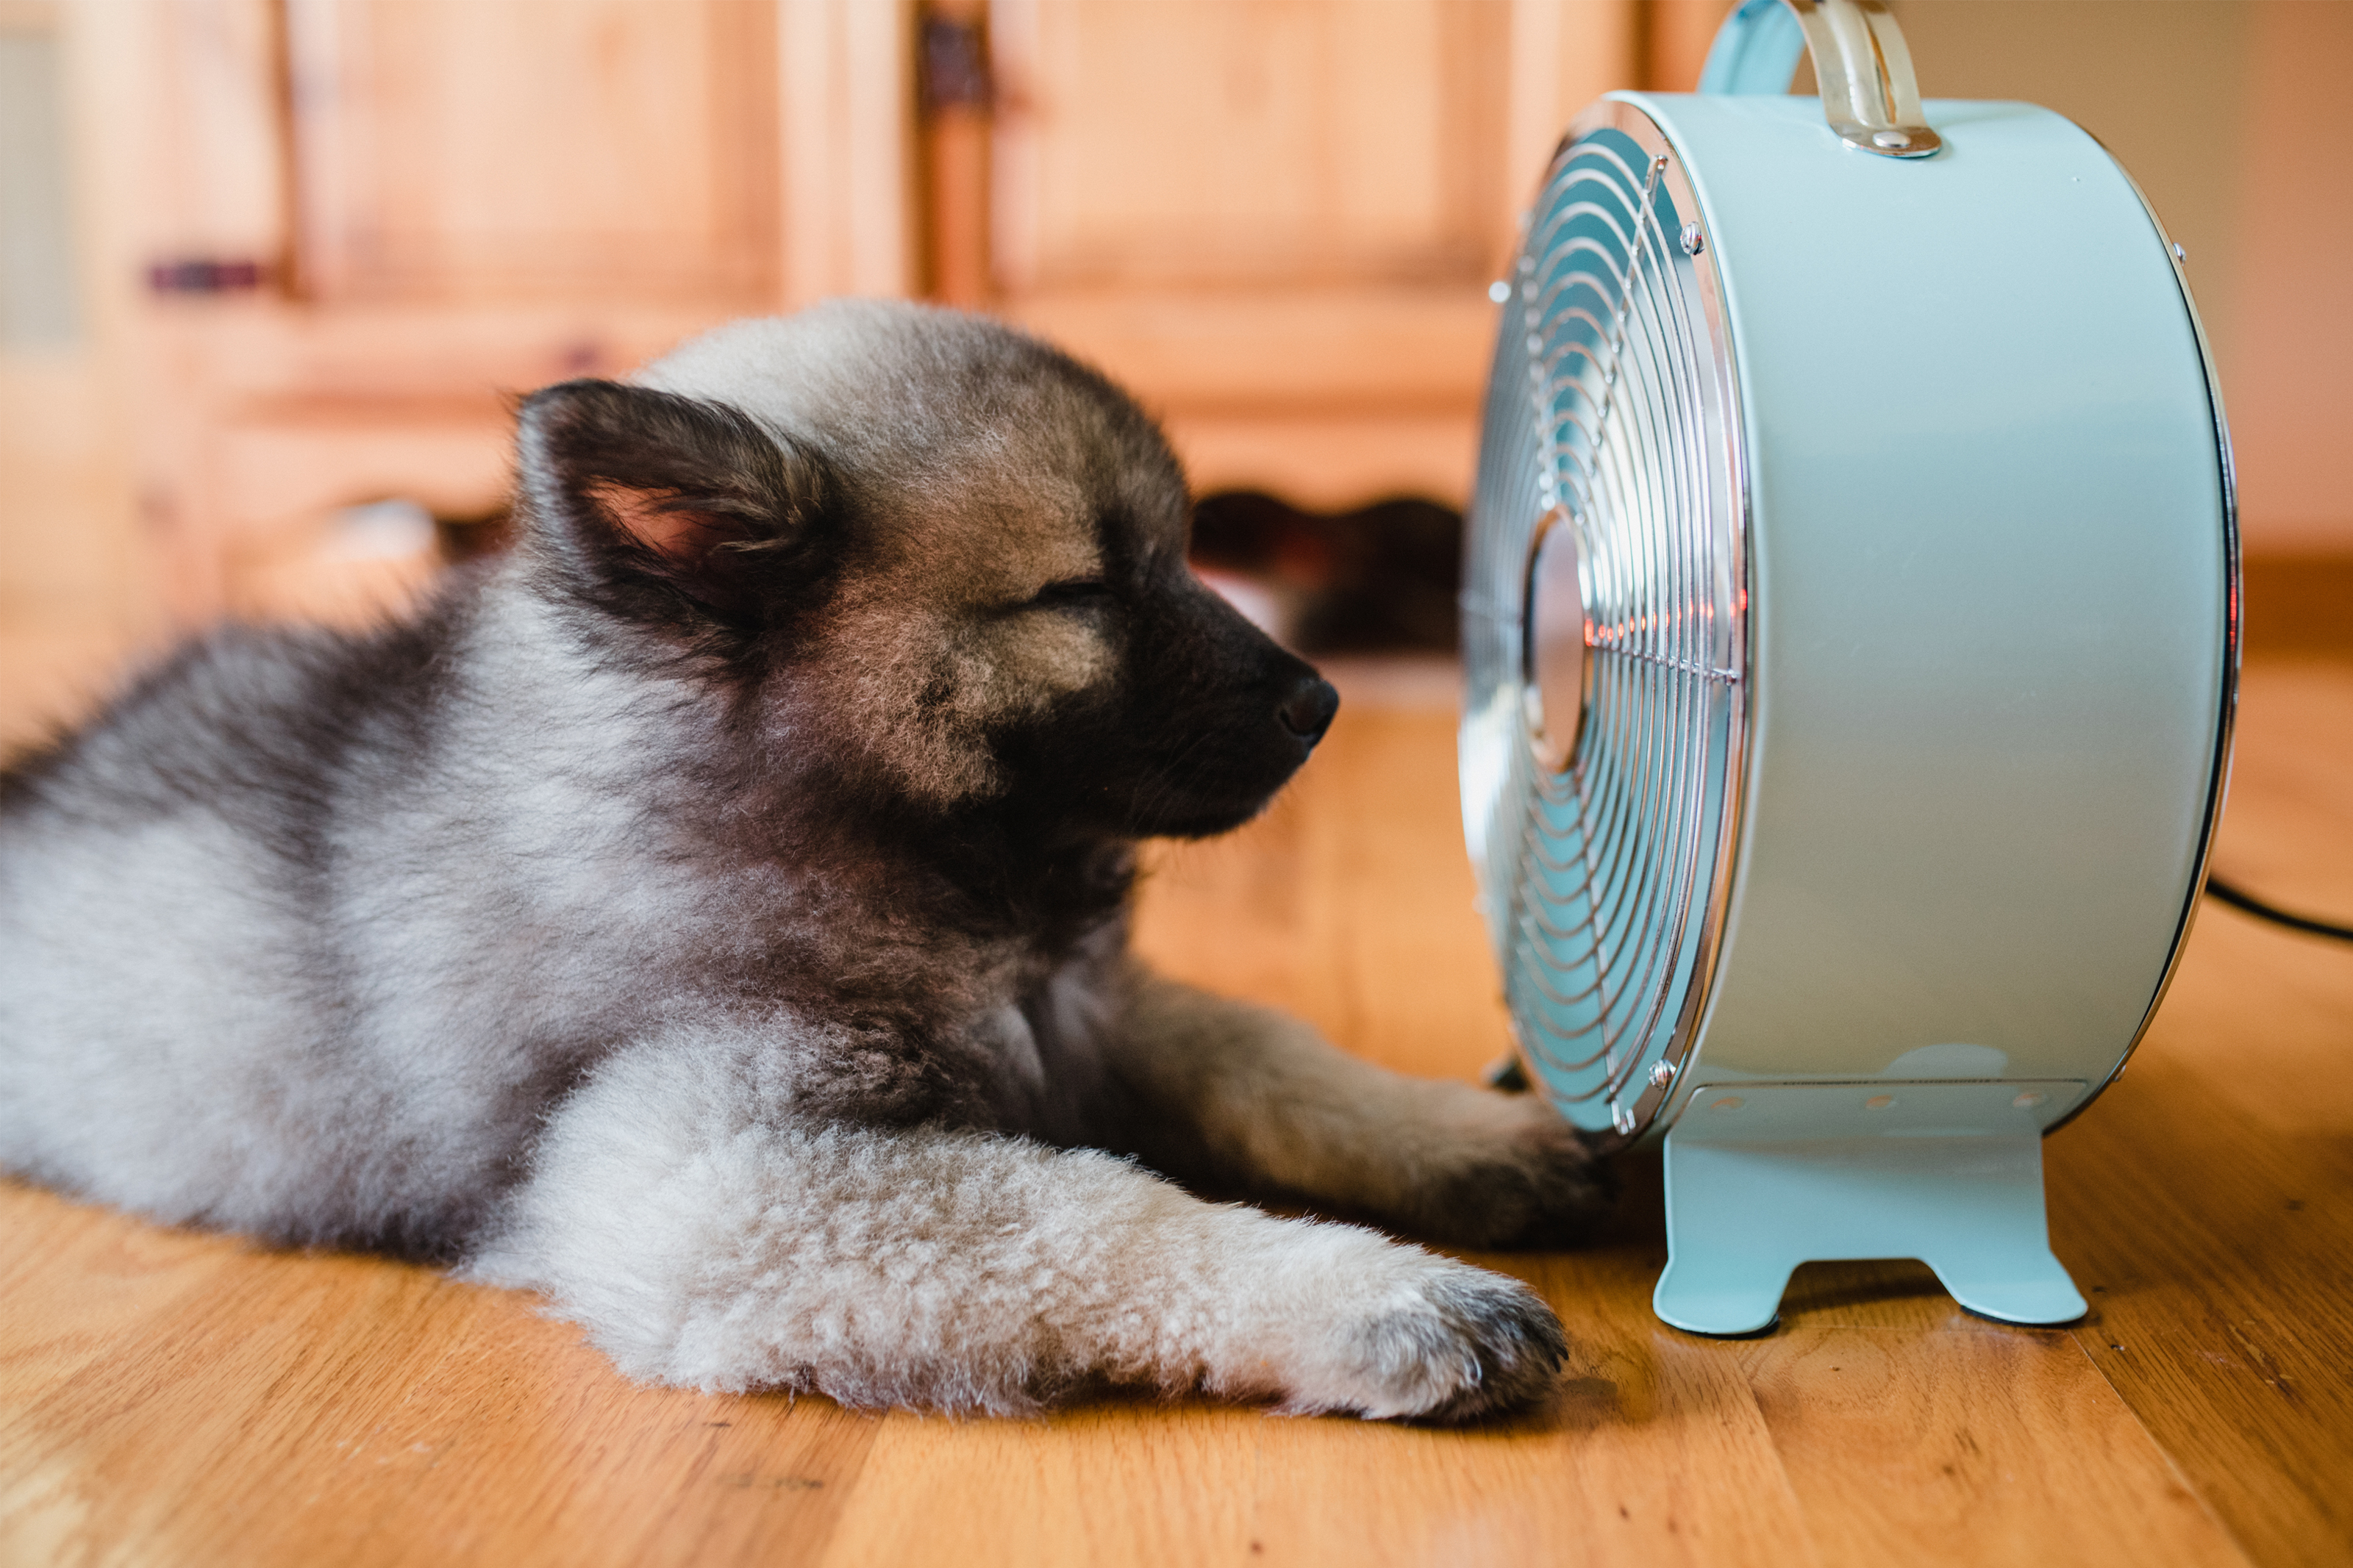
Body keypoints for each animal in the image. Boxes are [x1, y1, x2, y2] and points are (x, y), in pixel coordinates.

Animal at [0, 303, 1600, 1420]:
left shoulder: (1092, 1006)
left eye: (1185, 551)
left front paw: (1478, 1133)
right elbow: (1099, 1214)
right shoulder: (709, 1176)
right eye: (1084, 591)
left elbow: (1274, 1056)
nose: (1319, 701)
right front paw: (1390, 1300)